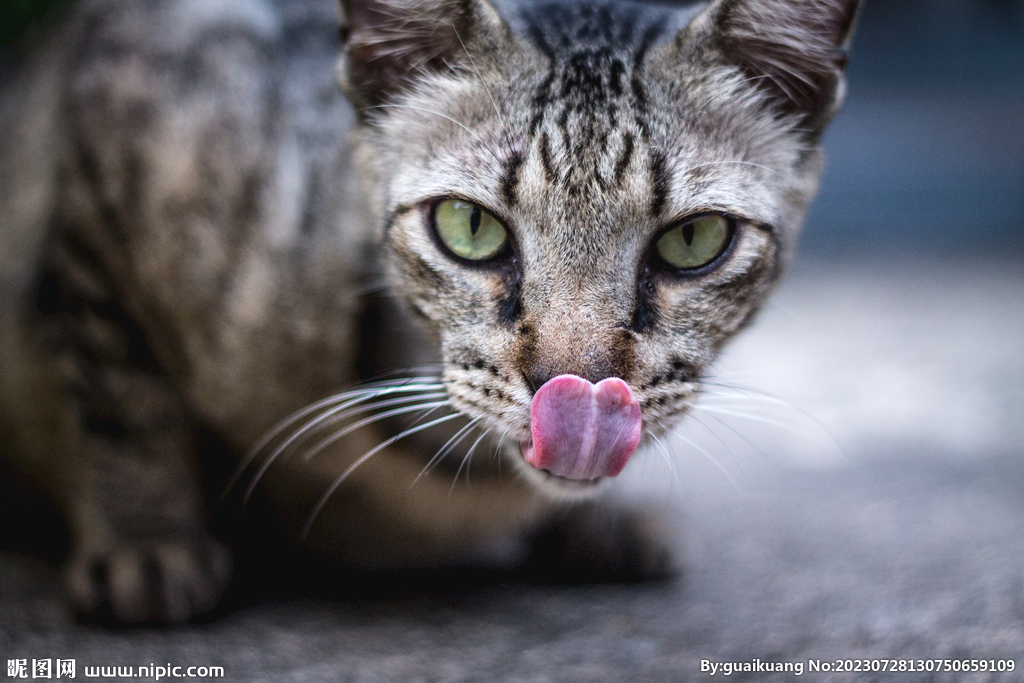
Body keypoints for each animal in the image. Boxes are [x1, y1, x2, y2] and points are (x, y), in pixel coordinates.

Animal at [0, 0, 860, 622]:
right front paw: (149, 541)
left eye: (693, 239)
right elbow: (120, 396)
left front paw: (599, 524)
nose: (577, 388)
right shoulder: (115, 137)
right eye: (469, 226)